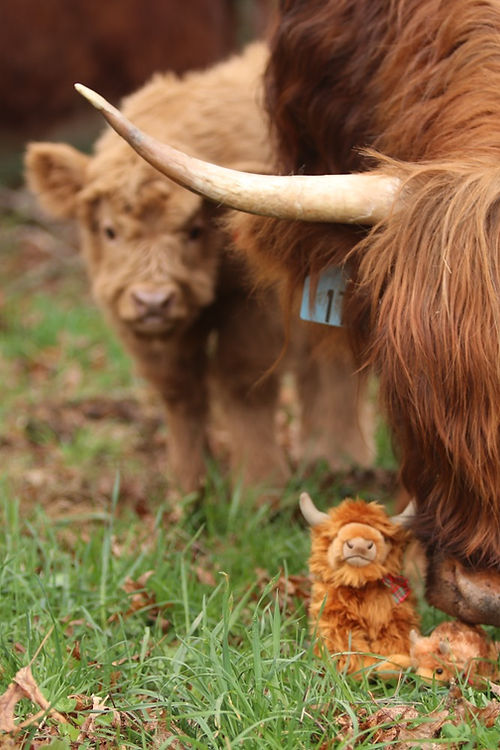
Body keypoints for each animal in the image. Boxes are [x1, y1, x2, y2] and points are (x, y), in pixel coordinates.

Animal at [27, 43, 375, 502]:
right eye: (109, 230)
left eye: (194, 230)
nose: (153, 301)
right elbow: (179, 389)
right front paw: (189, 487)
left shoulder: (254, 308)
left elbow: (245, 382)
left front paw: (260, 489)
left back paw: (343, 457)